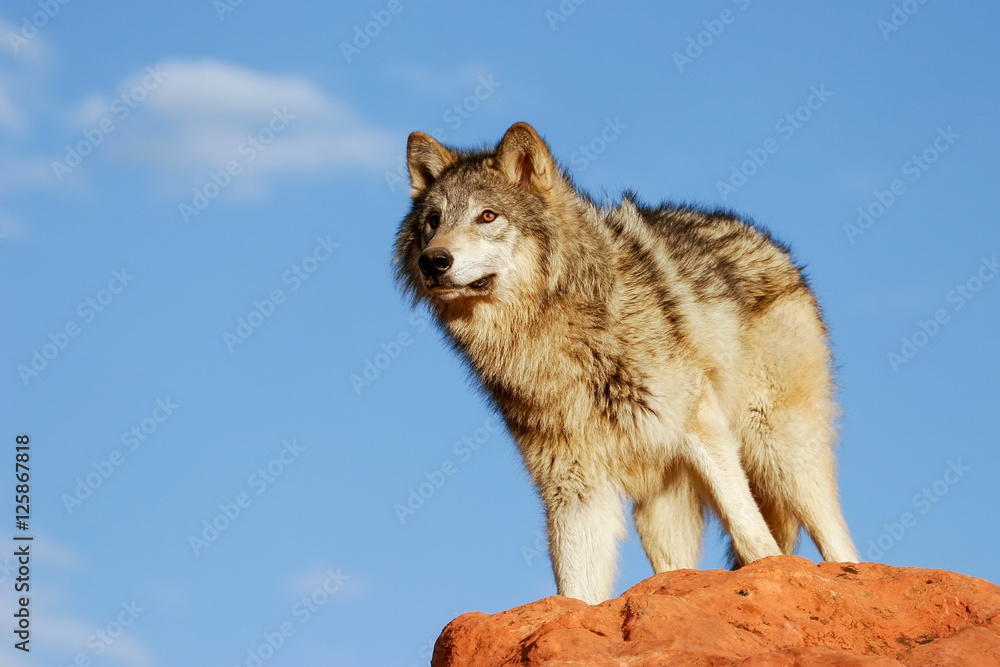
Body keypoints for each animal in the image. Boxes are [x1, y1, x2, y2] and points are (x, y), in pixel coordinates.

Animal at [393, 122, 858, 605]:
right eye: (433, 221)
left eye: (487, 216)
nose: (434, 261)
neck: (555, 335)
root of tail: (773, 247)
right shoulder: (572, 485)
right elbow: (575, 590)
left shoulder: (700, 424)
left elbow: (752, 533)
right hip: (661, 509)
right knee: (675, 570)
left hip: (779, 449)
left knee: (840, 544)